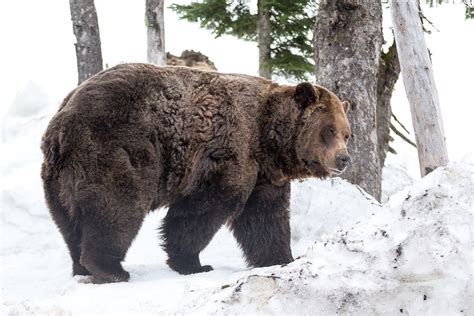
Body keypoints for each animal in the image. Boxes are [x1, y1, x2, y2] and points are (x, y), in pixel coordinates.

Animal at [40, 63, 350, 284]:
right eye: (328, 131)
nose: (344, 158)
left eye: (347, 133)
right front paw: (193, 263)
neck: (268, 140)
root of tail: (62, 123)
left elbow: (265, 219)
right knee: (116, 208)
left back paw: (81, 265)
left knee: (69, 222)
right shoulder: (226, 153)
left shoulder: (265, 177)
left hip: (58, 178)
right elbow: (202, 210)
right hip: (116, 149)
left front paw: (283, 258)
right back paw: (110, 269)